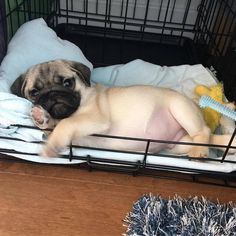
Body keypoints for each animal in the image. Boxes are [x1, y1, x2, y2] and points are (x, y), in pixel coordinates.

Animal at [10, 60, 236, 158]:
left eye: (67, 83)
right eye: (35, 92)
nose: (52, 95)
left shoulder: (94, 118)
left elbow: (65, 124)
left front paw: (51, 145)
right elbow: (55, 125)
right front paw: (41, 117)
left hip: (181, 109)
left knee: (203, 131)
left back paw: (200, 151)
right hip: (178, 144)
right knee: (205, 137)